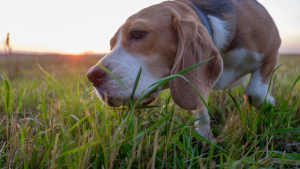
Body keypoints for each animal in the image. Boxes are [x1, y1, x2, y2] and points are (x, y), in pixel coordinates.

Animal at [86, 0, 282, 139]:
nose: (92, 76)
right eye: (111, 45)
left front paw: (269, 103)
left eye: (137, 33)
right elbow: (200, 106)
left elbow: (254, 92)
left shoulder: (272, 51)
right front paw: (205, 137)